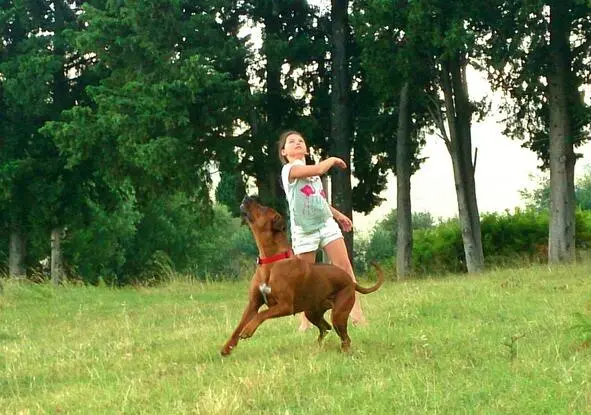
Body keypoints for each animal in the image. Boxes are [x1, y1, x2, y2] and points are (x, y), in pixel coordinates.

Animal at [221, 198, 384, 358]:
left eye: (263, 208)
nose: (246, 198)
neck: (272, 261)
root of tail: (351, 281)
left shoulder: (285, 306)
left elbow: (262, 314)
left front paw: (248, 330)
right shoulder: (253, 304)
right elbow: (238, 326)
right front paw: (227, 348)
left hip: (338, 313)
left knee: (344, 337)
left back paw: (344, 353)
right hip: (312, 312)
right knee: (325, 328)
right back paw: (317, 348)